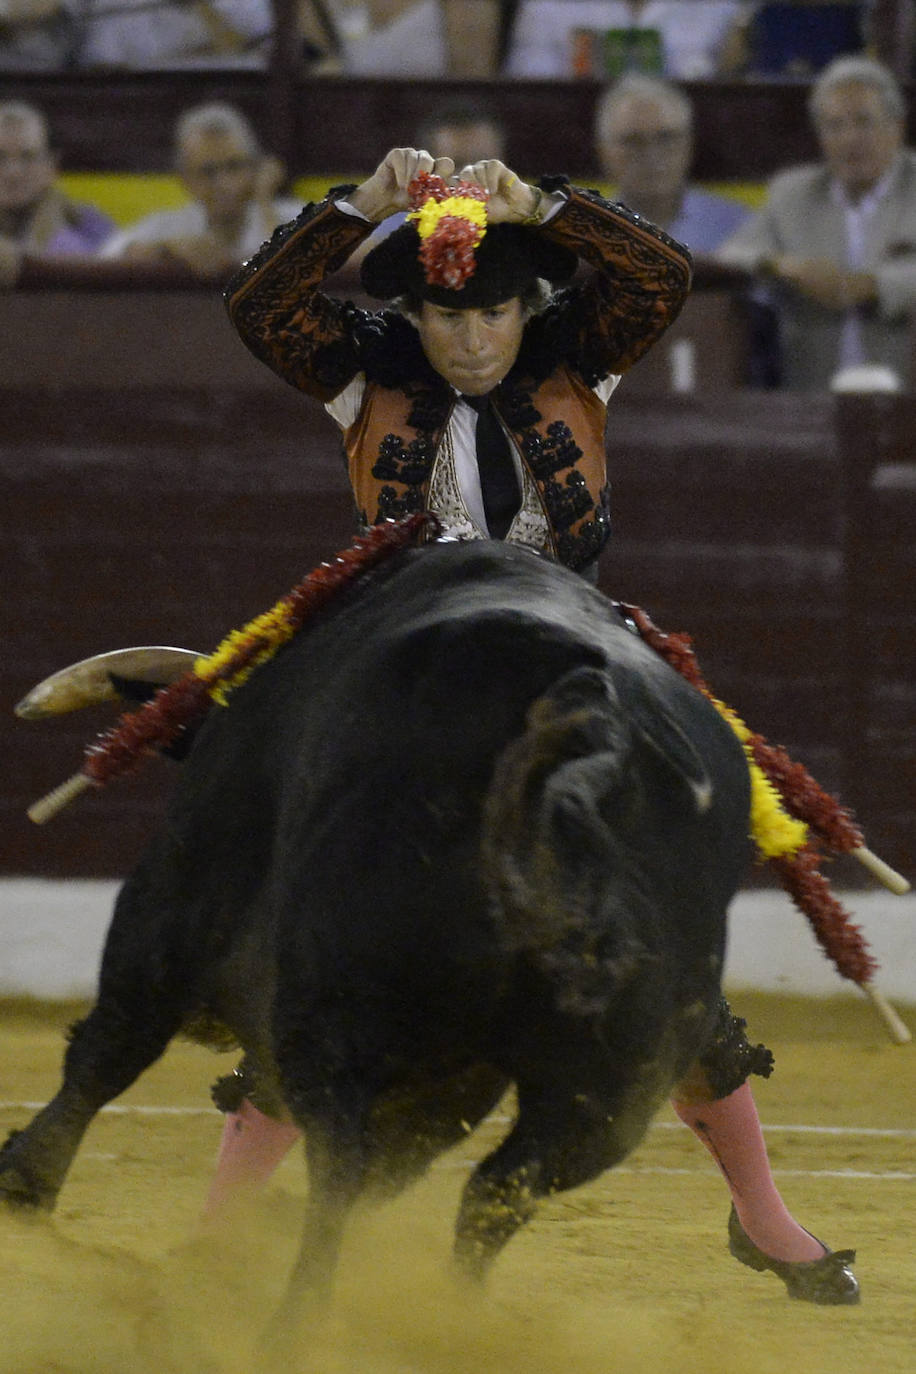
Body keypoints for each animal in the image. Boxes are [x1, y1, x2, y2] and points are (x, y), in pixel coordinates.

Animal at [0, 535, 752, 1308]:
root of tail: (591, 717)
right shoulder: (460, 1080)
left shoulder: (175, 901)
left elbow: (105, 1053)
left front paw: (21, 1190)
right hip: (610, 1088)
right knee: (494, 1190)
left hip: (332, 1004)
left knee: (337, 1165)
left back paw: (290, 1315)